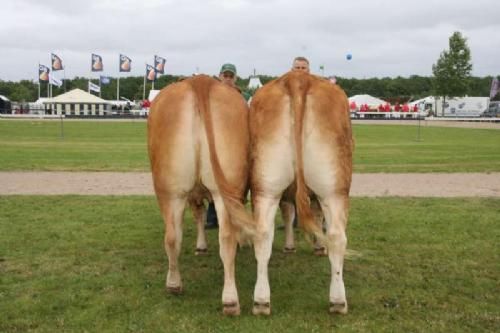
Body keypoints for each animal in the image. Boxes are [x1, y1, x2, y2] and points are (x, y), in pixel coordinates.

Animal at [147, 74, 254, 314]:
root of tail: (199, 81)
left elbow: (199, 215)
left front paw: (201, 246)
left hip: (170, 192)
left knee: (173, 237)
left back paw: (175, 284)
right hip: (202, 190)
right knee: (218, 237)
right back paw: (229, 299)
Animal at [249, 70, 352, 314]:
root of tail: (297, 77)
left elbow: (289, 213)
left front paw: (291, 246)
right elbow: (312, 216)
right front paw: (316, 247)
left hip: (266, 185)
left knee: (263, 234)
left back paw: (261, 301)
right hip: (335, 189)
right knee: (337, 236)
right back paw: (338, 301)